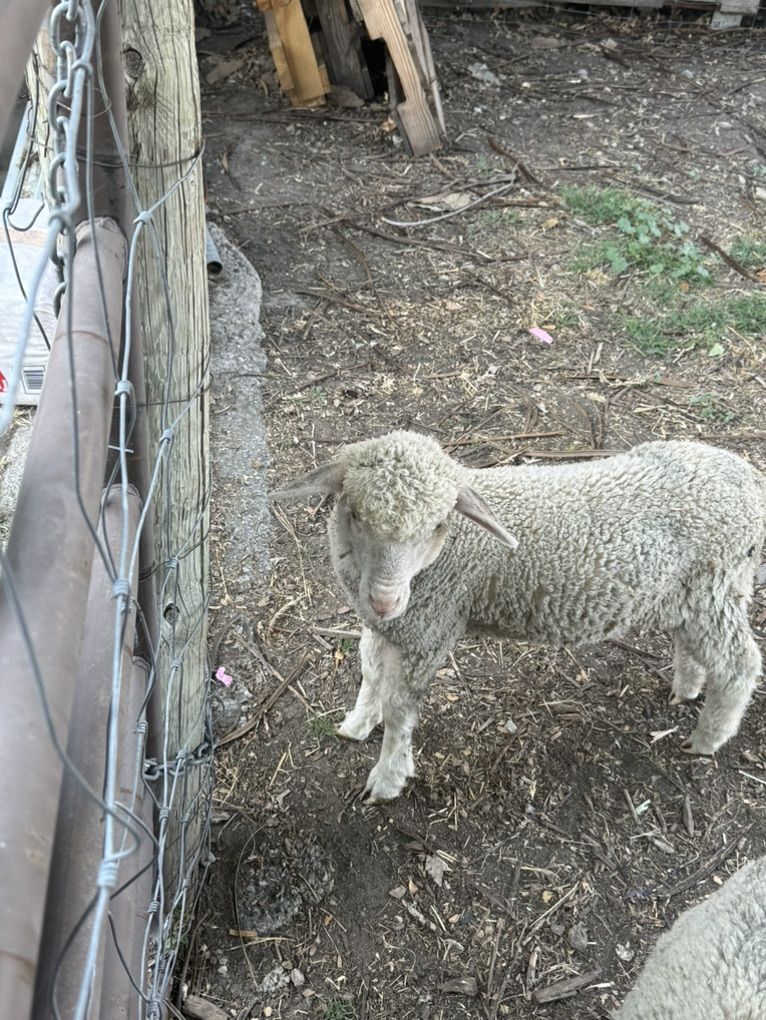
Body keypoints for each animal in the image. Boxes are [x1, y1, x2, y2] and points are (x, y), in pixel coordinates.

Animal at [272, 431, 765, 804]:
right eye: (354, 513)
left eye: (437, 525)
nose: (385, 600)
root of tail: (747, 478)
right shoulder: (391, 627)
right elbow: (370, 671)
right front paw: (358, 722)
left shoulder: (429, 629)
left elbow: (398, 709)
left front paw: (388, 777)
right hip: (694, 593)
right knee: (693, 644)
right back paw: (687, 687)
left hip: (714, 587)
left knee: (739, 664)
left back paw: (707, 739)